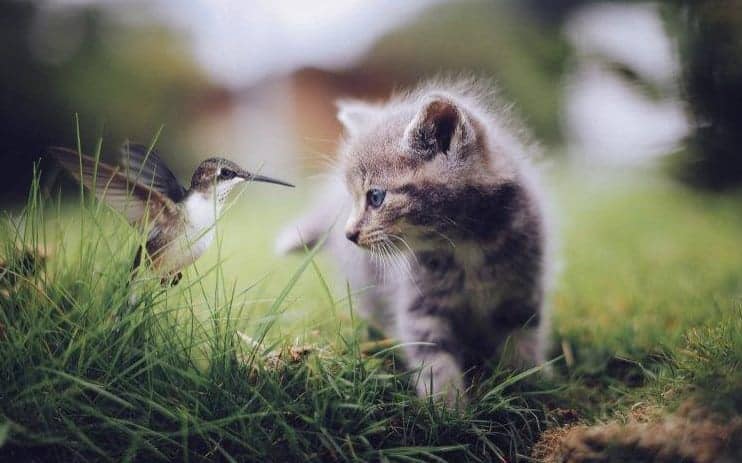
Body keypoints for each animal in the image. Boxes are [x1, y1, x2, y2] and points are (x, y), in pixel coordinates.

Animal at [280, 79, 552, 406]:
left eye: (375, 197)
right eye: (354, 198)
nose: (349, 234)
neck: (466, 245)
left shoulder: (522, 291)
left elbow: (522, 341)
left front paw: (525, 389)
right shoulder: (419, 305)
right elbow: (433, 356)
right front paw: (446, 408)